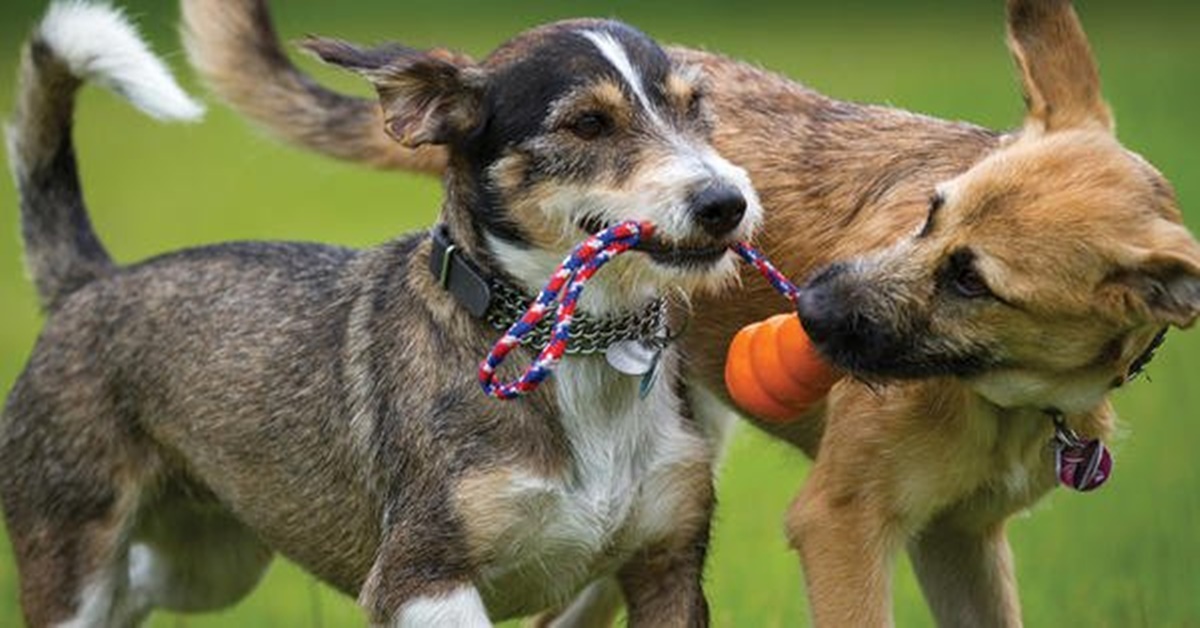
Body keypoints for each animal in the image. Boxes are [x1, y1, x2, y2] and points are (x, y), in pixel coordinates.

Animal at [180, 1, 1200, 628]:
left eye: (973, 282)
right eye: (929, 211)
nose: (810, 303)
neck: (1006, 395)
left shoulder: (965, 542)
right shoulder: (840, 522)